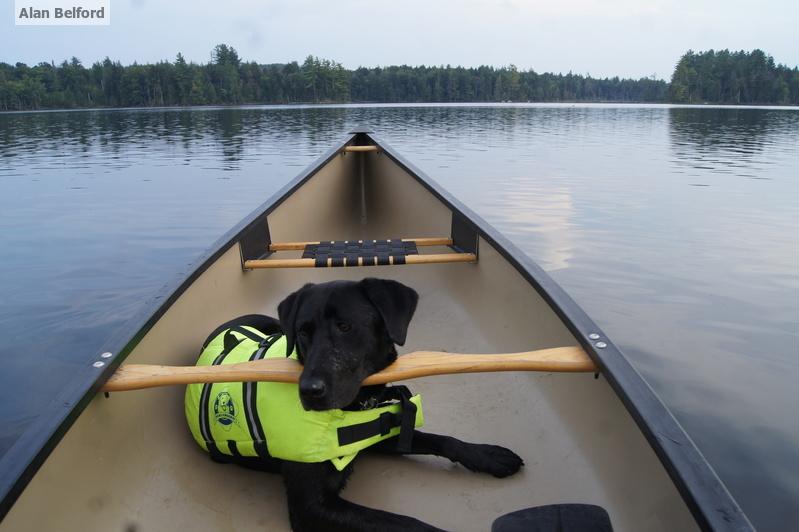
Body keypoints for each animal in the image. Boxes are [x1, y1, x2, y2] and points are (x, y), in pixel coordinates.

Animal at [230, 278, 524, 532]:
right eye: (303, 331)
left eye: (345, 326)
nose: (309, 391)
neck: (356, 406)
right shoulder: (310, 508)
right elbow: (404, 523)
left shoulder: (374, 432)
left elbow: (438, 438)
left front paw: (486, 454)